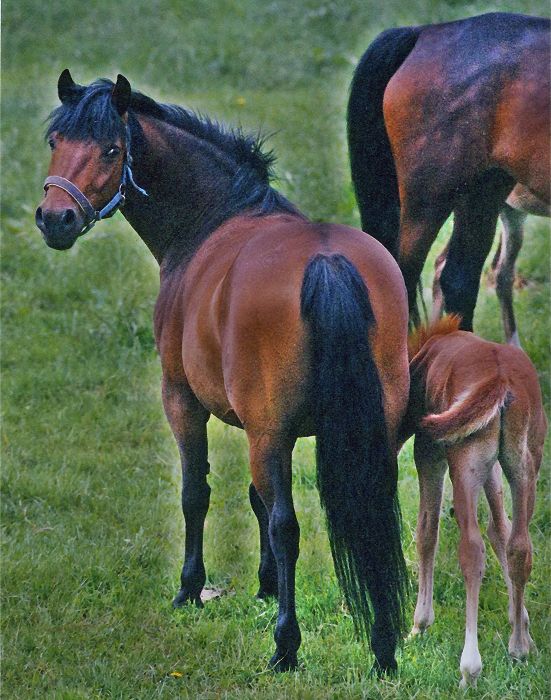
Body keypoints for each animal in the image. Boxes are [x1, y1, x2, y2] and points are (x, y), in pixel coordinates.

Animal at [35, 69, 410, 672]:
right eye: (56, 141)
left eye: (112, 149)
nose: (55, 219)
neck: (215, 218)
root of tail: (328, 263)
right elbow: (256, 500)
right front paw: (264, 585)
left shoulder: (184, 400)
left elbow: (198, 493)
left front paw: (190, 590)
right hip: (369, 432)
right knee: (373, 514)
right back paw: (382, 649)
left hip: (266, 434)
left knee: (287, 526)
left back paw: (285, 646)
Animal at [402, 318, 548, 688]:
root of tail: (500, 379)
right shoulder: (492, 466)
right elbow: (501, 529)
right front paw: (523, 626)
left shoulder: (429, 452)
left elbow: (427, 529)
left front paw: (419, 625)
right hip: (523, 465)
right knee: (520, 547)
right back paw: (518, 648)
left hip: (463, 462)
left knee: (471, 549)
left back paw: (470, 667)